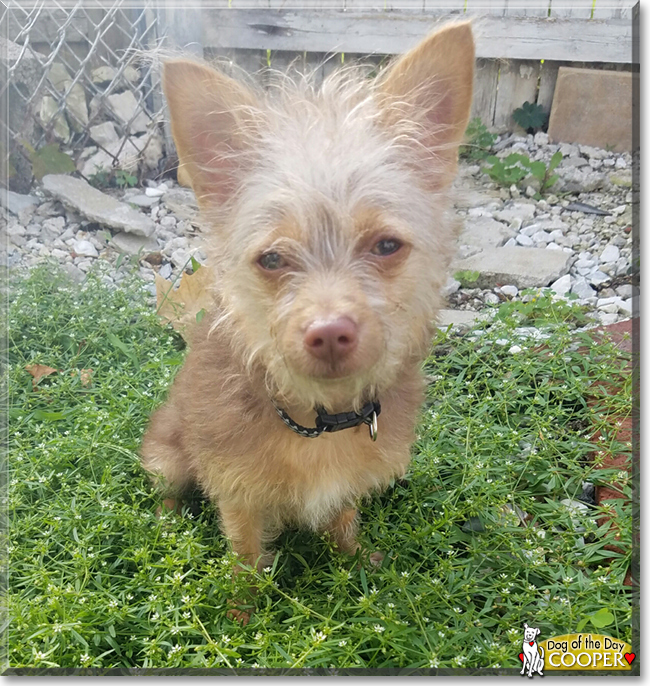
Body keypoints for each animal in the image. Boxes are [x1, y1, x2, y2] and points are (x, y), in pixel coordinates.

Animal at [142, 22, 474, 624]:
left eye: (386, 245)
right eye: (273, 258)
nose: (329, 331)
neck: (320, 419)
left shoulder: (348, 486)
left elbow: (342, 522)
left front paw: (359, 564)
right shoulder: (237, 493)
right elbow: (247, 554)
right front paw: (242, 615)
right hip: (166, 454)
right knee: (167, 487)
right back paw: (168, 522)